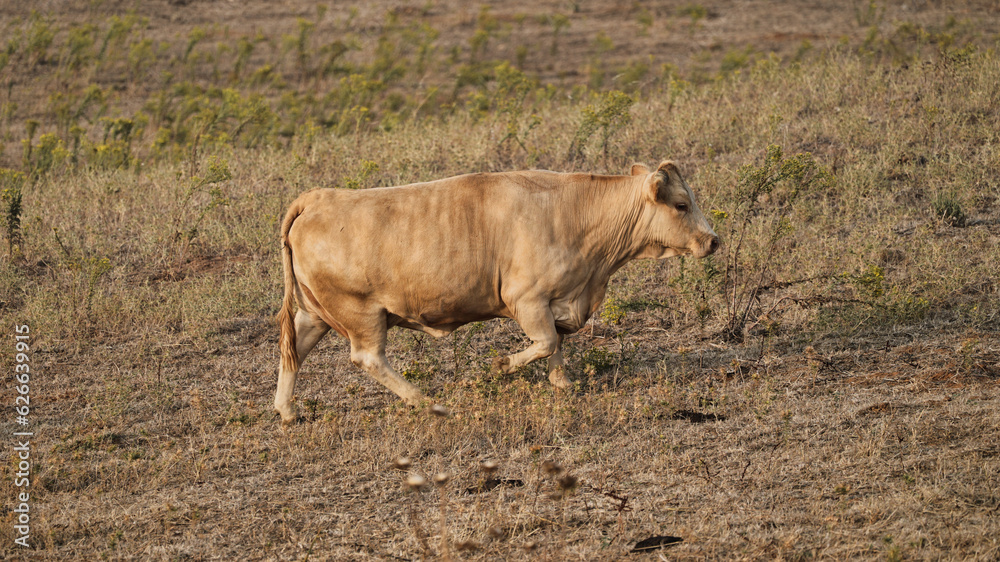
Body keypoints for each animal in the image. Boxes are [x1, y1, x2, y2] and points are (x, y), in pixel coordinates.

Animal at [274, 161, 719, 423]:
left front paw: (563, 384)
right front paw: (502, 365)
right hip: (361, 314)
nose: (713, 241)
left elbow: (554, 344)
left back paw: (287, 409)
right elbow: (545, 341)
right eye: (681, 205)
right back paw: (426, 401)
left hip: (315, 313)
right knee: (368, 358)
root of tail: (318, 199)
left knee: (294, 350)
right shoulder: (527, 300)